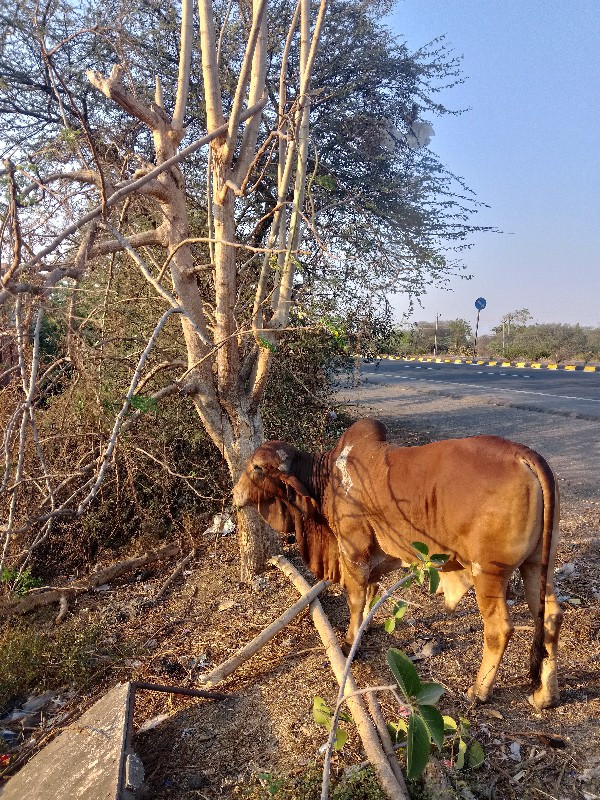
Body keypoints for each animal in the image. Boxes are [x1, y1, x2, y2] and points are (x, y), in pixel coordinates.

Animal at [233, 416, 564, 708]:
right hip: (537, 564)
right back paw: (544, 695)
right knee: (551, 617)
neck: (326, 478)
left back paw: (478, 692)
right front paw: (363, 630)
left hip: (489, 574)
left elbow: (356, 599)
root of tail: (524, 455)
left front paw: (351, 641)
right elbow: (370, 594)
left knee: (499, 629)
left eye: (257, 468)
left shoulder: (353, 552)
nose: (235, 494)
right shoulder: (372, 558)